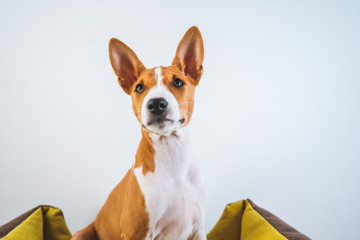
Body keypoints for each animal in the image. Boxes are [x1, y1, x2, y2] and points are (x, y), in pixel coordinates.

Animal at [71, 26, 207, 240]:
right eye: (140, 87)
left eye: (178, 82)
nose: (156, 104)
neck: (172, 159)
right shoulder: (136, 232)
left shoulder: (198, 230)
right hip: (80, 234)